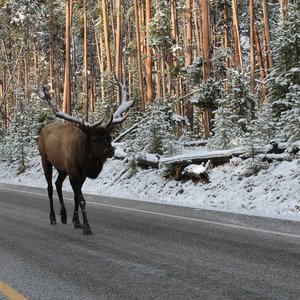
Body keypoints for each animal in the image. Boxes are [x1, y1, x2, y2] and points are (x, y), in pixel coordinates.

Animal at [31, 84, 132, 234]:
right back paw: (53, 217)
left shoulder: (80, 175)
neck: (84, 161)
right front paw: (86, 226)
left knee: (58, 183)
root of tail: (43, 130)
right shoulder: (73, 174)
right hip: (45, 159)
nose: (111, 151)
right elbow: (81, 199)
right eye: (95, 139)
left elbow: (75, 197)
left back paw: (63, 215)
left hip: (62, 169)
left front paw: (76, 221)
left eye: (109, 137)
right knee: (50, 187)